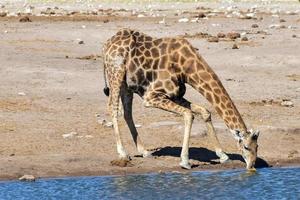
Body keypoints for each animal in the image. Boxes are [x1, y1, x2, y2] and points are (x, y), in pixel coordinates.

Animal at [102, 28, 258, 170]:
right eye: (246, 147)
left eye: (257, 146)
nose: (251, 166)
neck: (186, 68)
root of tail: (107, 44)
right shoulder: (151, 96)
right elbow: (189, 114)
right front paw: (185, 161)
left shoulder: (175, 95)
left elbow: (205, 111)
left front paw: (223, 156)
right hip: (116, 72)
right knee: (113, 108)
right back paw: (123, 154)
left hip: (127, 84)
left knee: (127, 112)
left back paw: (145, 151)